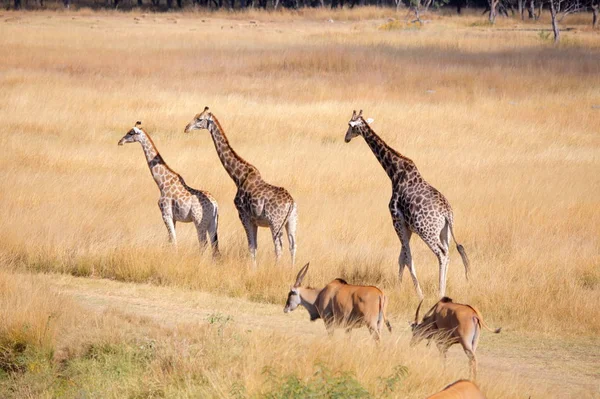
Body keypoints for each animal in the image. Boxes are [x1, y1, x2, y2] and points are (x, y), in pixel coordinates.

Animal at [118, 120, 219, 256]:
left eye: (130, 133)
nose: (120, 141)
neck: (161, 183)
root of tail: (215, 205)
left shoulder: (166, 214)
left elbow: (173, 241)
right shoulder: (173, 218)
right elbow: (170, 240)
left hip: (199, 222)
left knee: (203, 244)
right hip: (212, 223)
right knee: (214, 246)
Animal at [182, 108, 296, 268]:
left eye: (200, 119)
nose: (186, 128)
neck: (238, 177)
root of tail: (291, 202)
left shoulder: (243, 215)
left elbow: (251, 246)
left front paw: (253, 269)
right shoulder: (253, 220)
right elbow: (254, 246)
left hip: (275, 222)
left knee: (279, 247)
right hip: (291, 221)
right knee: (293, 246)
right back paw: (292, 269)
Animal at [342, 111, 468, 298]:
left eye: (350, 126)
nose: (346, 138)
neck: (394, 172)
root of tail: (447, 214)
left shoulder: (396, 219)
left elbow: (408, 258)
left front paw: (419, 293)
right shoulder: (406, 226)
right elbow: (401, 258)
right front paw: (399, 286)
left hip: (426, 231)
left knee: (442, 254)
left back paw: (440, 292)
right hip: (445, 233)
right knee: (448, 253)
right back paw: (443, 290)